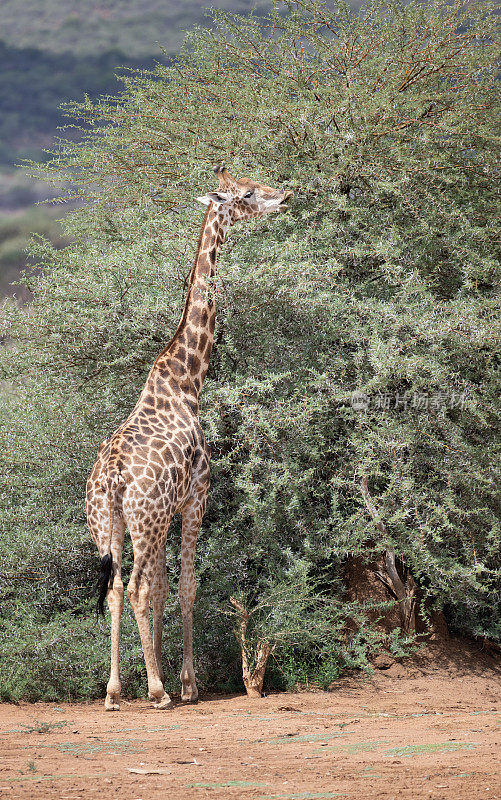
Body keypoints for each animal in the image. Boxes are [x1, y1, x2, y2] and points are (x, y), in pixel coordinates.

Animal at [85, 166, 290, 708]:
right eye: (247, 193)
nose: (284, 197)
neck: (187, 380)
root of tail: (111, 478)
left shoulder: (168, 513)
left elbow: (161, 586)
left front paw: (156, 672)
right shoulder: (196, 496)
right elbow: (186, 586)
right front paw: (186, 683)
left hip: (109, 524)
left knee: (118, 587)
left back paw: (114, 691)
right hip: (146, 518)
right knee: (135, 587)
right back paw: (157, 690)